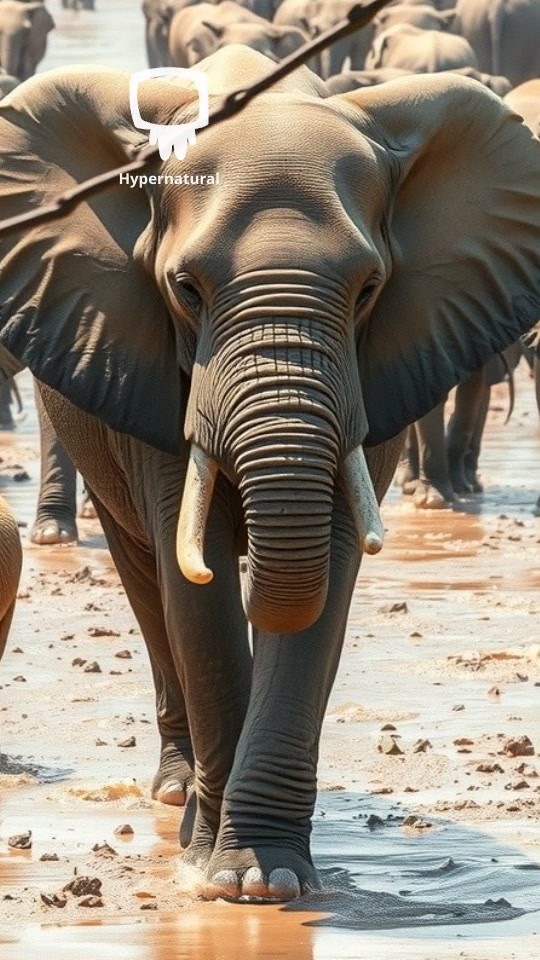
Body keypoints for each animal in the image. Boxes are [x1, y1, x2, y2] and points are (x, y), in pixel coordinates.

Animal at [0, 46, 538, 900]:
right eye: (185, 290)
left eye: (369, 290)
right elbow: (199, 584)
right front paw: (215, 875)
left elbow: (332, 565)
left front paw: (267, 880)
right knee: (147, 577)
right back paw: (177, 793)